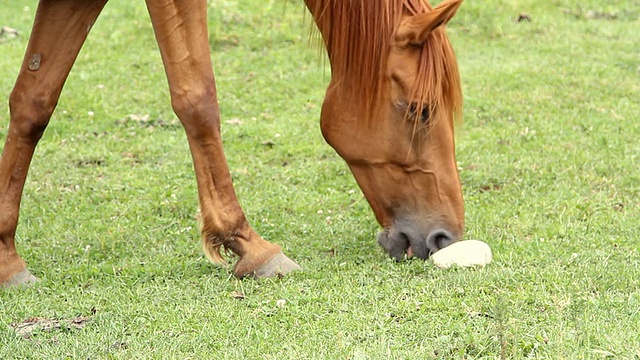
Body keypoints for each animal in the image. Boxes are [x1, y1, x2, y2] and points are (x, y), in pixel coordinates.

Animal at [2, 0, 468, 286]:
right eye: (422, 110)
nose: (446, 237)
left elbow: (33, 100)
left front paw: (6, 257)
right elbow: (197, 97)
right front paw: (249, 244)